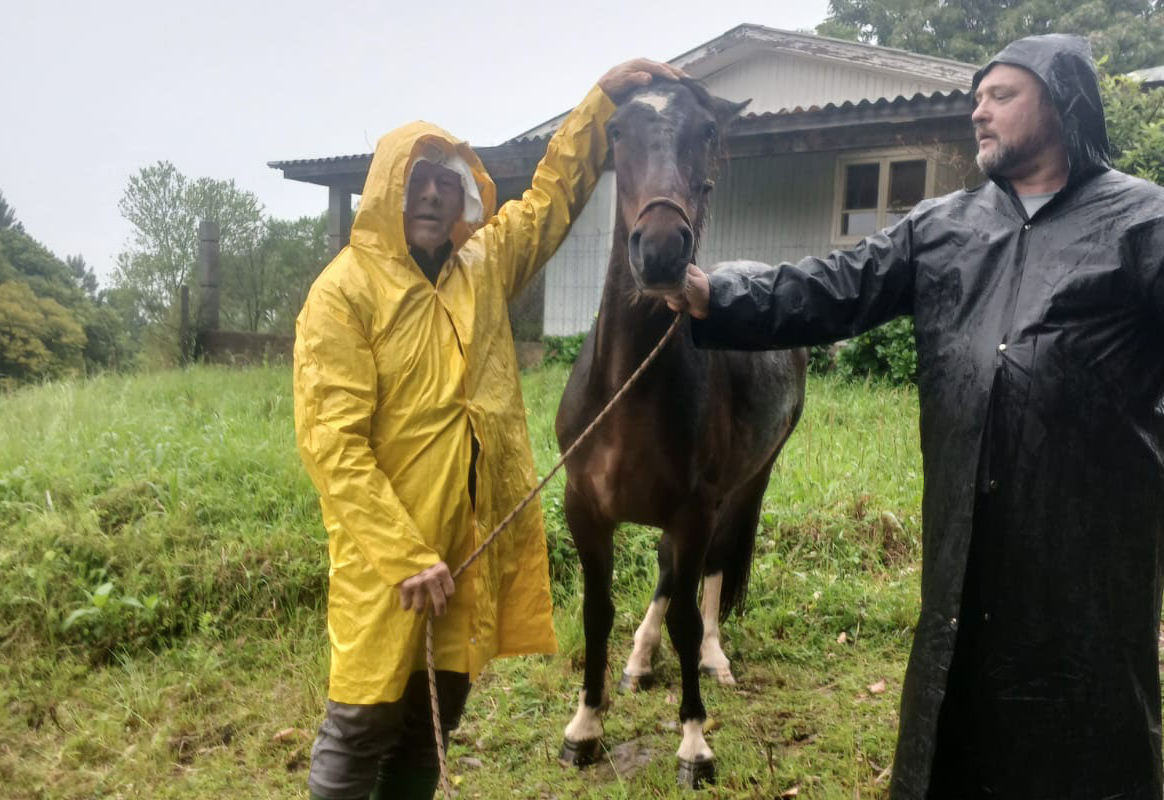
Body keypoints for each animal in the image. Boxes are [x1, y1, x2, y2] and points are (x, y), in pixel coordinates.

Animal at [553, 78, 808, 787]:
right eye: (616, 133)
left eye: (710, 134)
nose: (662, 249)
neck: (628, 391)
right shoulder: (585, 511)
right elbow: (598, 613)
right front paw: (585, 727)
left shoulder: (697, 508)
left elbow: (690, 620)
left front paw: (695, 743)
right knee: (670, 572)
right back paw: (640, 660)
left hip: (747, 485)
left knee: (712, 571)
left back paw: (715, 659)